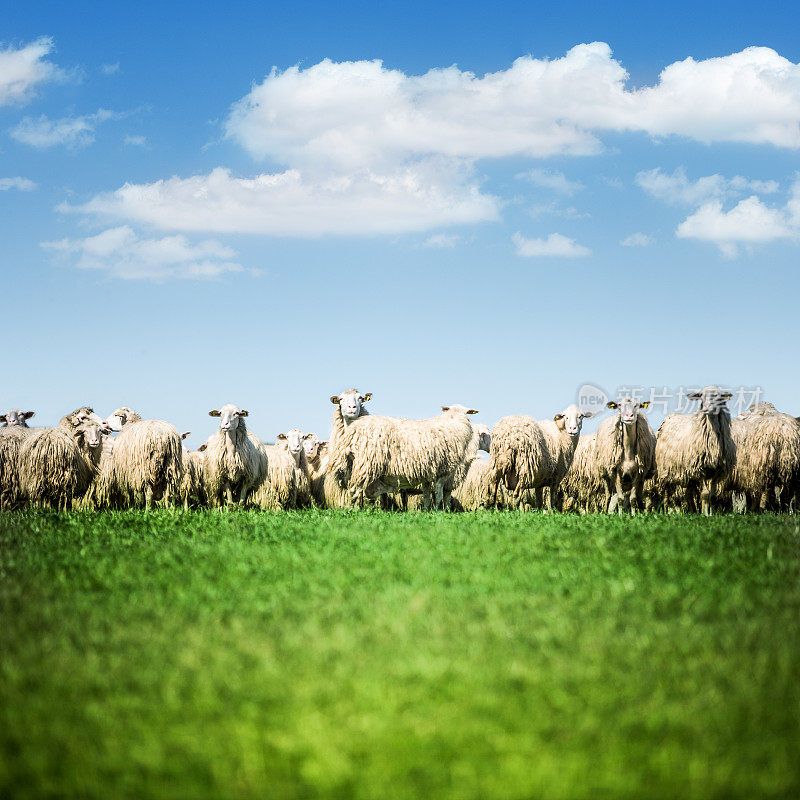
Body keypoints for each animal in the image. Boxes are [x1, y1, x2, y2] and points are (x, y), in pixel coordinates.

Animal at [328, 404, 478, 510]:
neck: (454, 421)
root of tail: (353, 431)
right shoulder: (442, 472)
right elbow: (439, 496)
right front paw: (437, 511)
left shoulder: (428, 474)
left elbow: (427, 496)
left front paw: (427, 511)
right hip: (366, 463)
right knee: (354, 490)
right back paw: (354, 511)